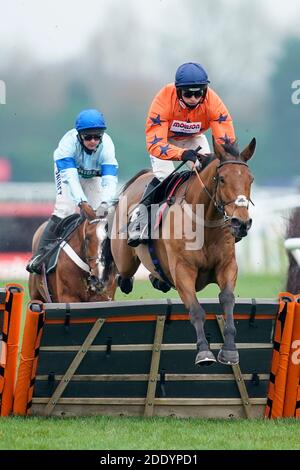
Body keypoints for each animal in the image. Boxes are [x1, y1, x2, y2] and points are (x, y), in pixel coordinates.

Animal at [101, 138, 255, 366]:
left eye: (250, 179)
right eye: (222, 179)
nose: (241, 223)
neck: (204, 224)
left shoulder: (227, 266)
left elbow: (227, 299)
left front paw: (229, 350)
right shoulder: (183, 271)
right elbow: (196, 310)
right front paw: (204, 352)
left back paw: (158, 280)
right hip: (125, 260)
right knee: (124, 278)